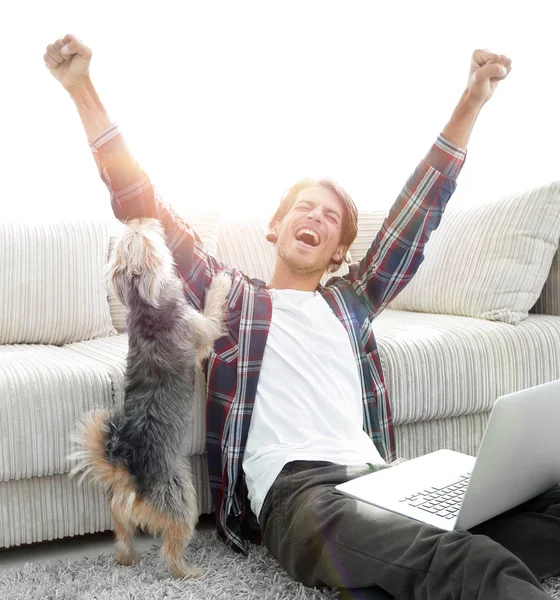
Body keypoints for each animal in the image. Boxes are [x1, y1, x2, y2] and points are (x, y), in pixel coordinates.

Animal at [68, 218, 230, 580]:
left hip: (119, 512)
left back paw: (127, 559)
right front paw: (221, 282)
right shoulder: (204, 330)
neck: (146, 306)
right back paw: (189, 572)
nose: (143, 218)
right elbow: (213, 313)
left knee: (123, 535)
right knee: (171, 548)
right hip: (183, 500)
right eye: (150, 237)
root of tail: (128, 470)